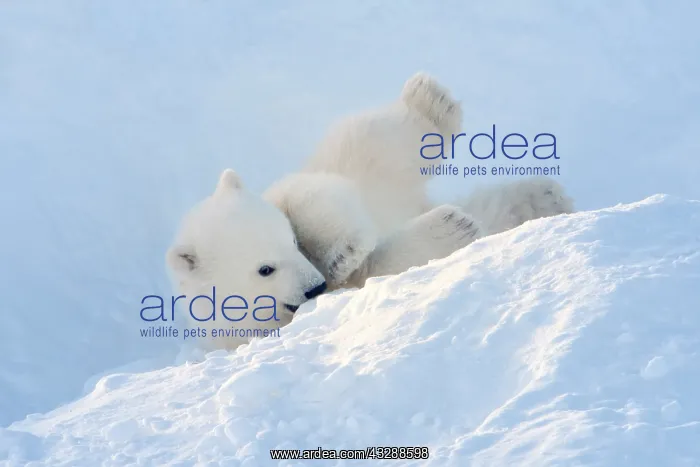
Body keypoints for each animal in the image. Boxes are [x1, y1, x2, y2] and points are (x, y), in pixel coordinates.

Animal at [166, 72, 574, 350]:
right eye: (264, 269)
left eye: (292, 242)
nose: (315, 286)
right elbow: (377, 272)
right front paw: (451, 229)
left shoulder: (282, 194)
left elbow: (310, 195)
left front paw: (342, 253)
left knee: (369, 140)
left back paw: (429, 103)